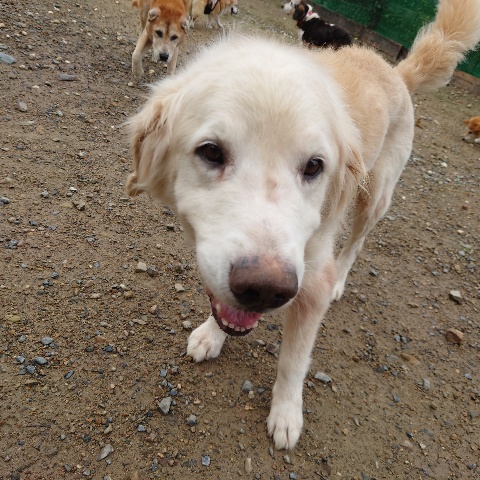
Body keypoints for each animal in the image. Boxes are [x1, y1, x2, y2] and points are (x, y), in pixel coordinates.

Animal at [126, 0, 480, 449]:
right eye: (211, 152)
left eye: (314, 166)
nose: (264, 290)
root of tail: (396, 72)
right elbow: (223, 306)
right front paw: (211, 333)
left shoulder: (311, 283)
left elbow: (293, 361)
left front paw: (286, 414)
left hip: (374, 196)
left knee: (356, 242)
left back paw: (344, 278)